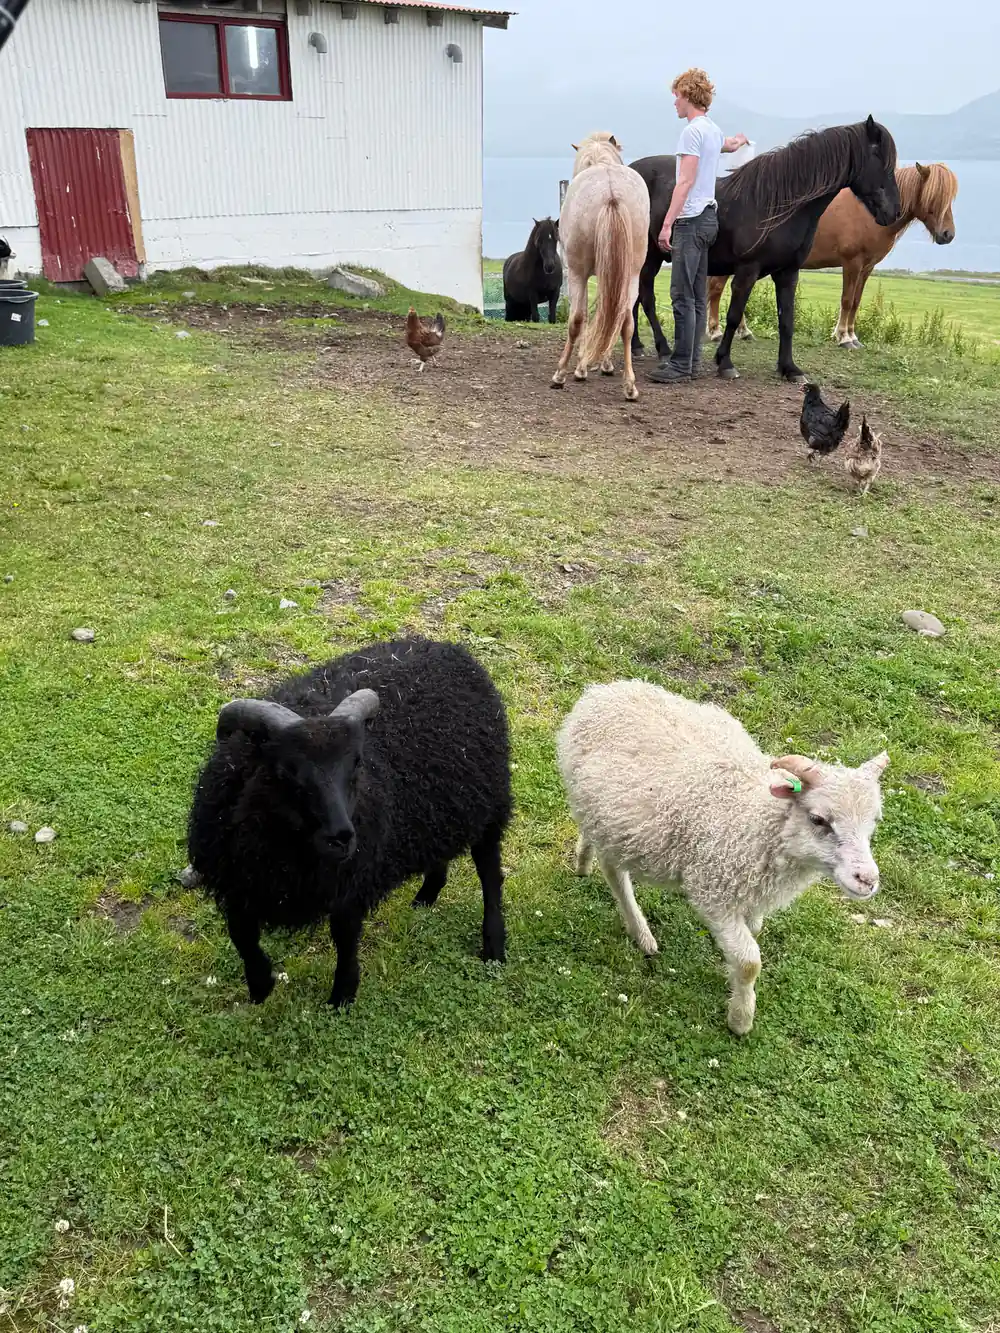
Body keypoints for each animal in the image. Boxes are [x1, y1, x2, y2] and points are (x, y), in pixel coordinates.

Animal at [187, 637, 512, 1006]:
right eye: (285, 770)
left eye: (357, 763)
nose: (342, 837)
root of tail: (450, 648)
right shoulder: (236, 881)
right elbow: (241, 936)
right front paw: (260, 986)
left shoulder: (352, 881)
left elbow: (345, 939)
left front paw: (342, 995)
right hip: (440, 809)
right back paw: (426, 896)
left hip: (490, 805)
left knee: (490, 874)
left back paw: (494, 946)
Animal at [556, 680, 889, 1035]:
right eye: (818, 819)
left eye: (874, 821)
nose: (867, 879)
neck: (756, 820)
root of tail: (603, 691)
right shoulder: (713, 892)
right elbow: (749, 962)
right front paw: (740, 1019)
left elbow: (753, 931)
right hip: (614, 821)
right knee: (615, 874)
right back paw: (641, 933)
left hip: (601, 818)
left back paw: (583, 861)